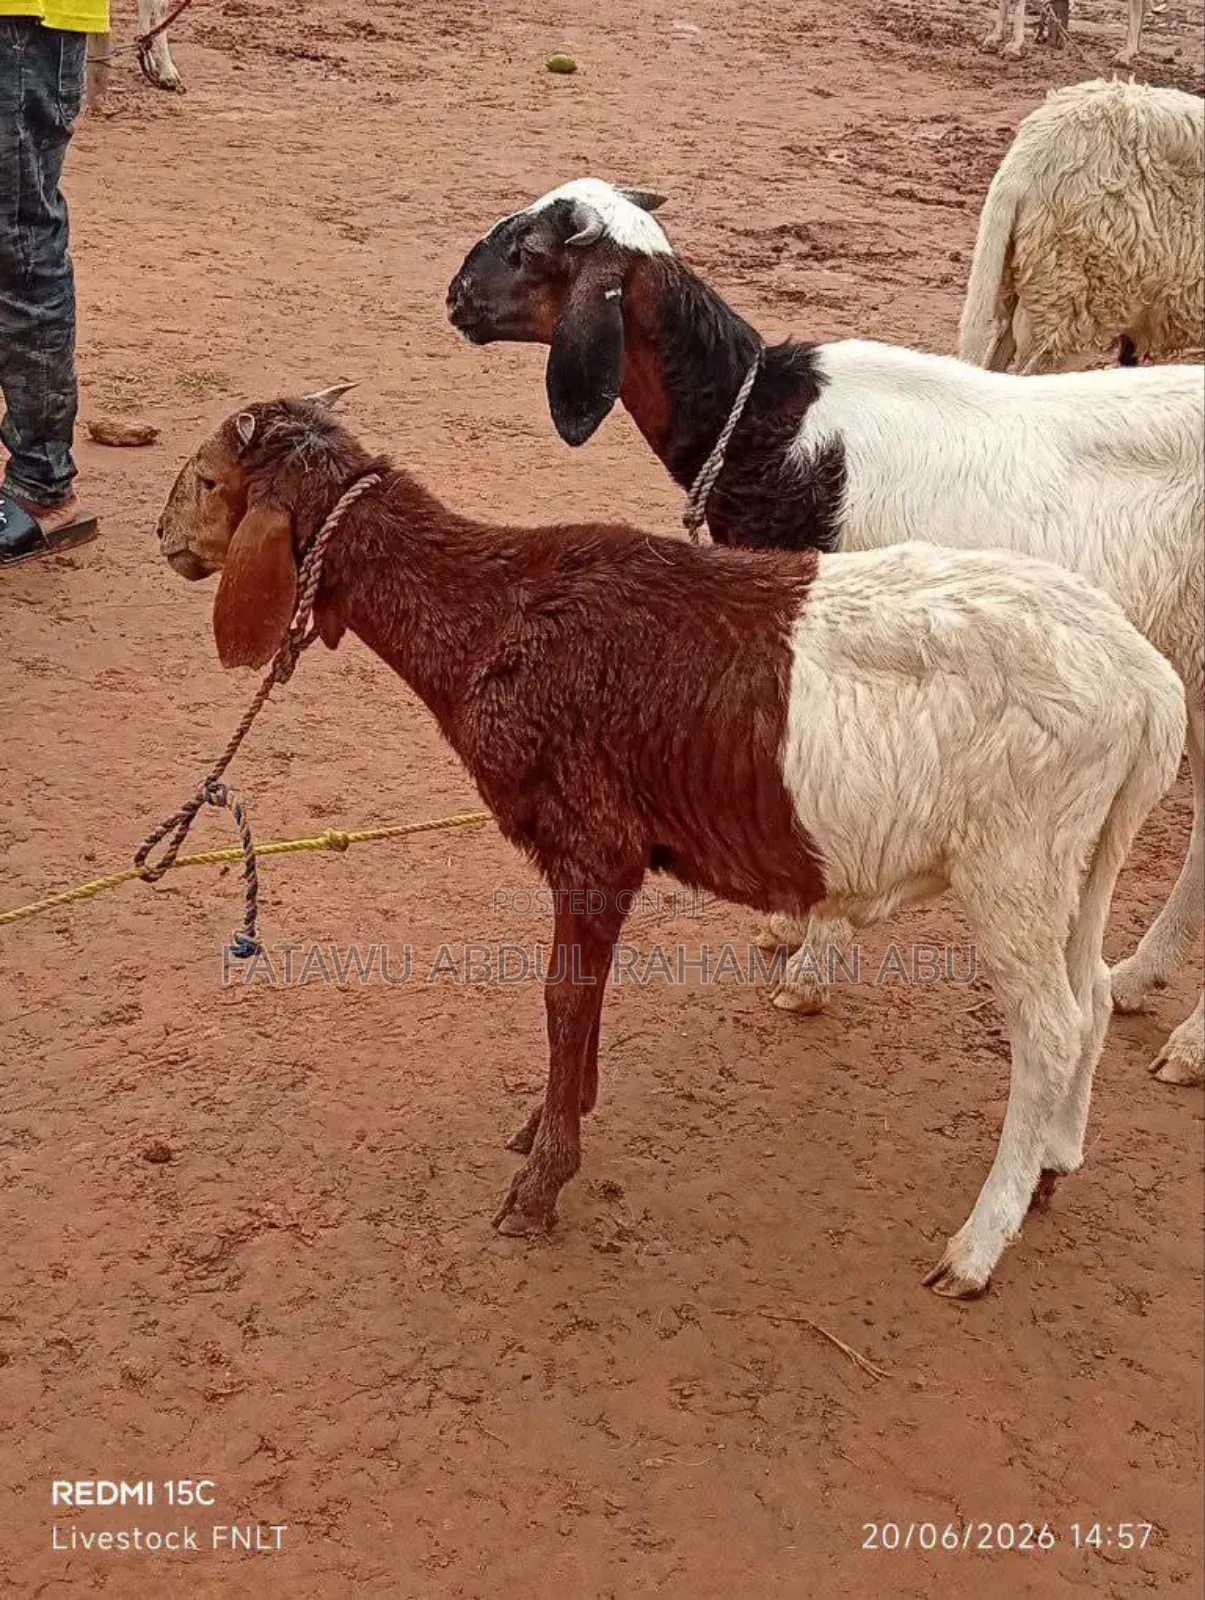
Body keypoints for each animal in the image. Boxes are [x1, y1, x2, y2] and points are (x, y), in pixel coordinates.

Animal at [155, 395, 1186, 1298]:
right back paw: (1050, 1167)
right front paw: (552, 1119)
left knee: (1049, 1030)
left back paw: (976, 1246)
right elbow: (581, 998)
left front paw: (540, 1184)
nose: (163, 543)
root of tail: (1144, 683)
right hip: (1080, 854)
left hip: (1014, 856)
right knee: (1091, 996)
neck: (491, 613)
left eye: (207, 480)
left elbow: (562, 995)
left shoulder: (591, 840)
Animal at [446, 177, 1205, 1086]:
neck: (760, 424)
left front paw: (811, 963)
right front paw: (787, 925)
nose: (454, 298)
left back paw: (1185, 1038)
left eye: (527, 251)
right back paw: (1135, 981)